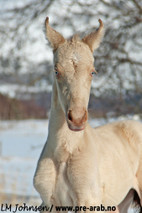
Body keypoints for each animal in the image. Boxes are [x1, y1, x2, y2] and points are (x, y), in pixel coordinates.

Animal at [34, 17, 142, 213]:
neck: (63, 155)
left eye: (93, 71)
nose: (77, 119)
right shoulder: (49, 203)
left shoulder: (87, 201)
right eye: (56, 71)